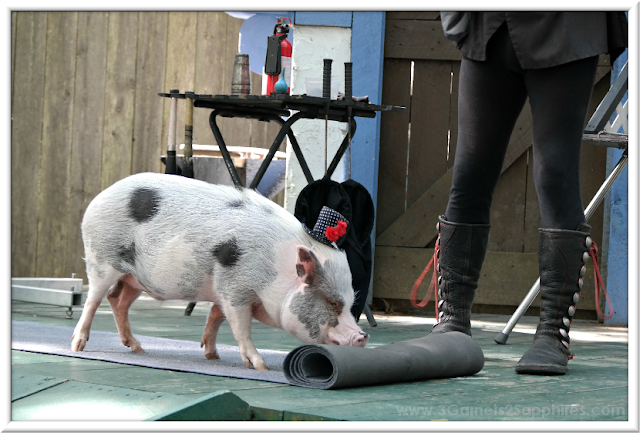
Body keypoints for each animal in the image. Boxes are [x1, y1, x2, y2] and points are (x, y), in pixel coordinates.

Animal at [70, 171, 368, 368]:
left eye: (350, 301)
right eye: (332, 302)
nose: (363, 336)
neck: (277, 271)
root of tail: (97, 199)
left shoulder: (223, 290)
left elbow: (215, 316)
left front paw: (212, 355)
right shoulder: (235, 288)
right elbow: (240, 327)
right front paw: (259, 366)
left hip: (135, 278)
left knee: (117, 301)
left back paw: (138, 349)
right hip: (101, 259)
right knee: (94, 300)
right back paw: (78, 346)